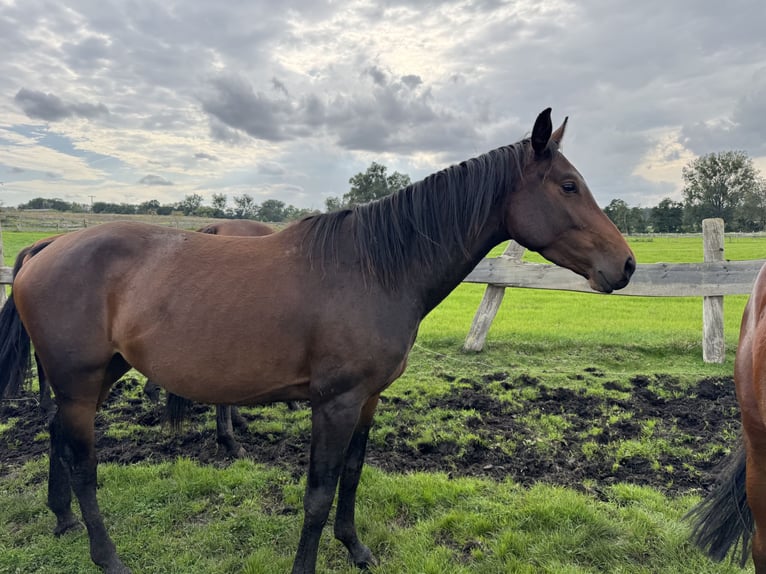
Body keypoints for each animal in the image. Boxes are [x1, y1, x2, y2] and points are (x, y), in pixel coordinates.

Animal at [0, 108, 635, 574]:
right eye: (569, 185)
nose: (625, 265)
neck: (375, 268)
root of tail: (49, 246)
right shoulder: (333, 403)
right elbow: (318, 491)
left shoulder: (367, 400)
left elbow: (351, 475)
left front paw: (356, 549)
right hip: (81, 381)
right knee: (83, 463)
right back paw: (105, 555)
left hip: (100, 375)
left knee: (57, 435)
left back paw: (62, 520)